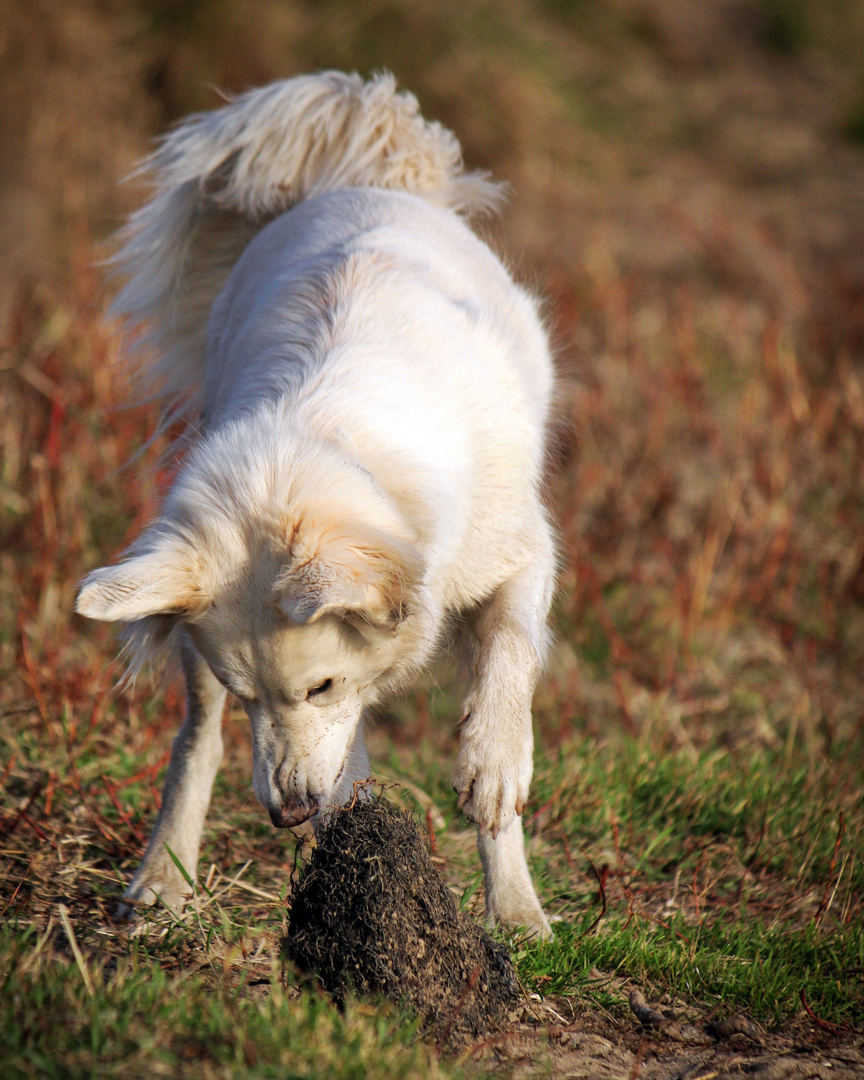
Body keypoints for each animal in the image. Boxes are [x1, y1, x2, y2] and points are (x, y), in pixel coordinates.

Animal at [77, 73, 557, 937]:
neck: (322, 447)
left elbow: (506, 657)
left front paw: (496, 778)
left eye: (320, 687)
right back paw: (164, 878)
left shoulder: (523, 551)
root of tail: (355, 182)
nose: (288, 814)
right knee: (194, 744)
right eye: (250, 696)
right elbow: (327, 758)